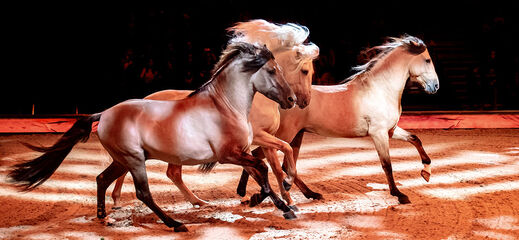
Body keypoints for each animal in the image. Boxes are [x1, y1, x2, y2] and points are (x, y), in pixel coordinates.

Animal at [8, 42, 298, 232]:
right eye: (272, 70)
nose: (292, 100)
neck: (225, 105)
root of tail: (105, 113)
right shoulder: (230, 155)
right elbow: (262, 168)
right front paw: (279, 199)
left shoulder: (242, 152)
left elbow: (261, 171)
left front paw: (284, 205)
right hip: (134, 160)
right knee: (143, 192)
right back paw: (175, 223)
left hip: (122, 160)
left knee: (102, 179)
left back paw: (103, 216)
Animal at [239, 35, 438, 204]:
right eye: (427, 60)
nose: (435, 86)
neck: (380, 89)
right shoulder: (379, 133)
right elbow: (387, 164)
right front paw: (399, 195)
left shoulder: (390, 130)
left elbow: (415, 139)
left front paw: (426, 172)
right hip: (285, 135)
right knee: (260, 157)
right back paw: (250, 195)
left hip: (296, 136)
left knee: (284, 166)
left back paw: (309, 194)